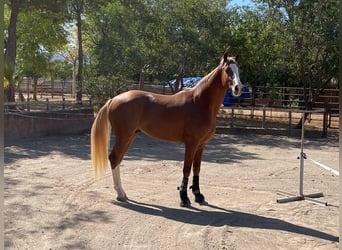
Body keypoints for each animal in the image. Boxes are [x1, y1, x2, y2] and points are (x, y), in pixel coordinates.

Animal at [91, 51, 243, 207]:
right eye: (227, 70)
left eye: (238, 70)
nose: (238, 88)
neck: (200, 102)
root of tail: (113, 99)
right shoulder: (191, 143)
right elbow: (186, 169)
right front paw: (184, 198)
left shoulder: (201, 144)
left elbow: (197, 168)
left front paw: (198, 195)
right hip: (124, 136)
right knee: (114, 158)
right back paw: (120, 194)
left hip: (130, 136)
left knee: (118, 159)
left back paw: (123, 193)